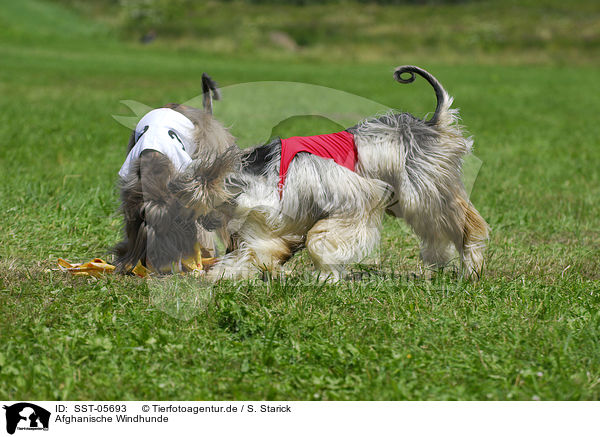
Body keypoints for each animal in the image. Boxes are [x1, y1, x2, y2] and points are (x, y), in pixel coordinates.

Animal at [169, 64, 488, 280]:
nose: (204, 225)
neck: (258, 178)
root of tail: (433, 124)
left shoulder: (356, 199)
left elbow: (318, 239)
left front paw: (325, 276)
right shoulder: (268, 224)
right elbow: (259, 250)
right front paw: (222, 275)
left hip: (423, 193)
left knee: (465, 226)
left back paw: (471, 266)